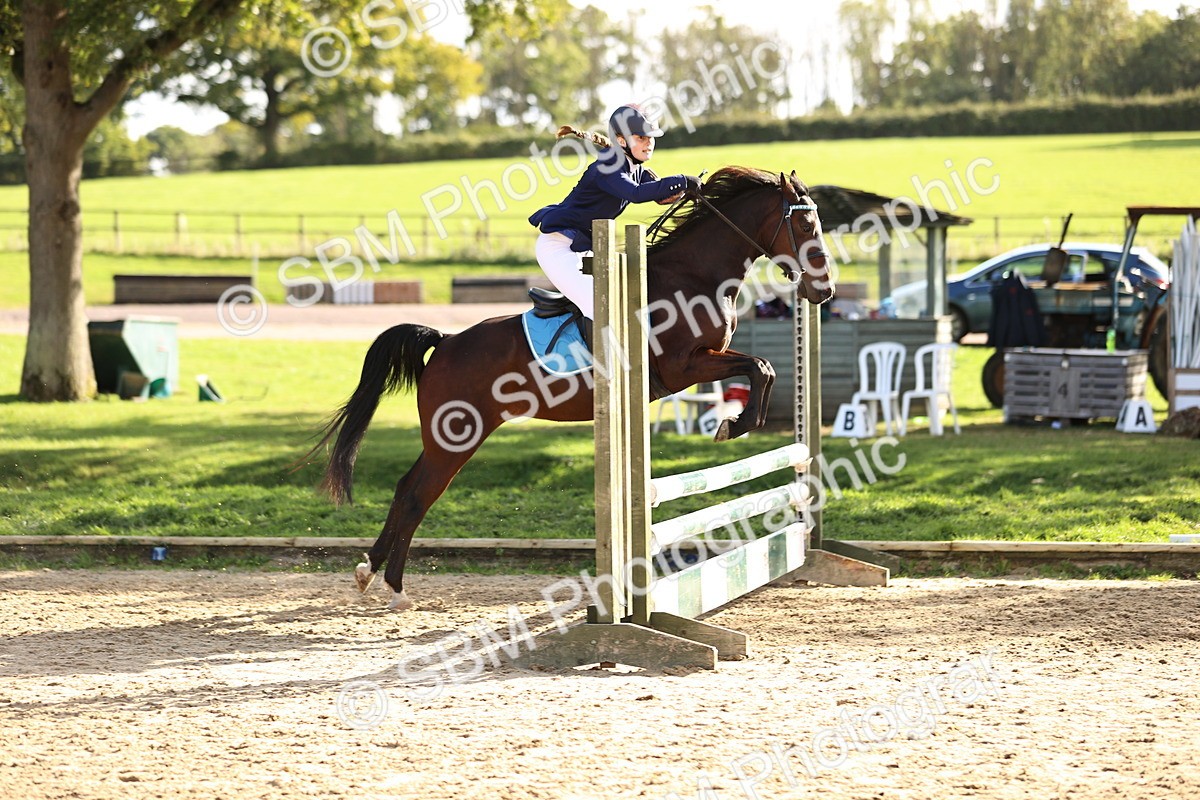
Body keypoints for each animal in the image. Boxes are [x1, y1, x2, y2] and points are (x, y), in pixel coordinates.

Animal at [306, 166, 835, 610]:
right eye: (806, 225)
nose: (824, 290)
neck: (696, 275)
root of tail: (447, 341)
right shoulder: (685, 366)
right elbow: (760, 367)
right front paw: (736, 424)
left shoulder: (700, 364)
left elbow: (762, 368)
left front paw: (738, 423)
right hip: (455, 437)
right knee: (418, 493)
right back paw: (390, 585)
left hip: (451, 437)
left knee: (408, 489)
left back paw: (373, 573)